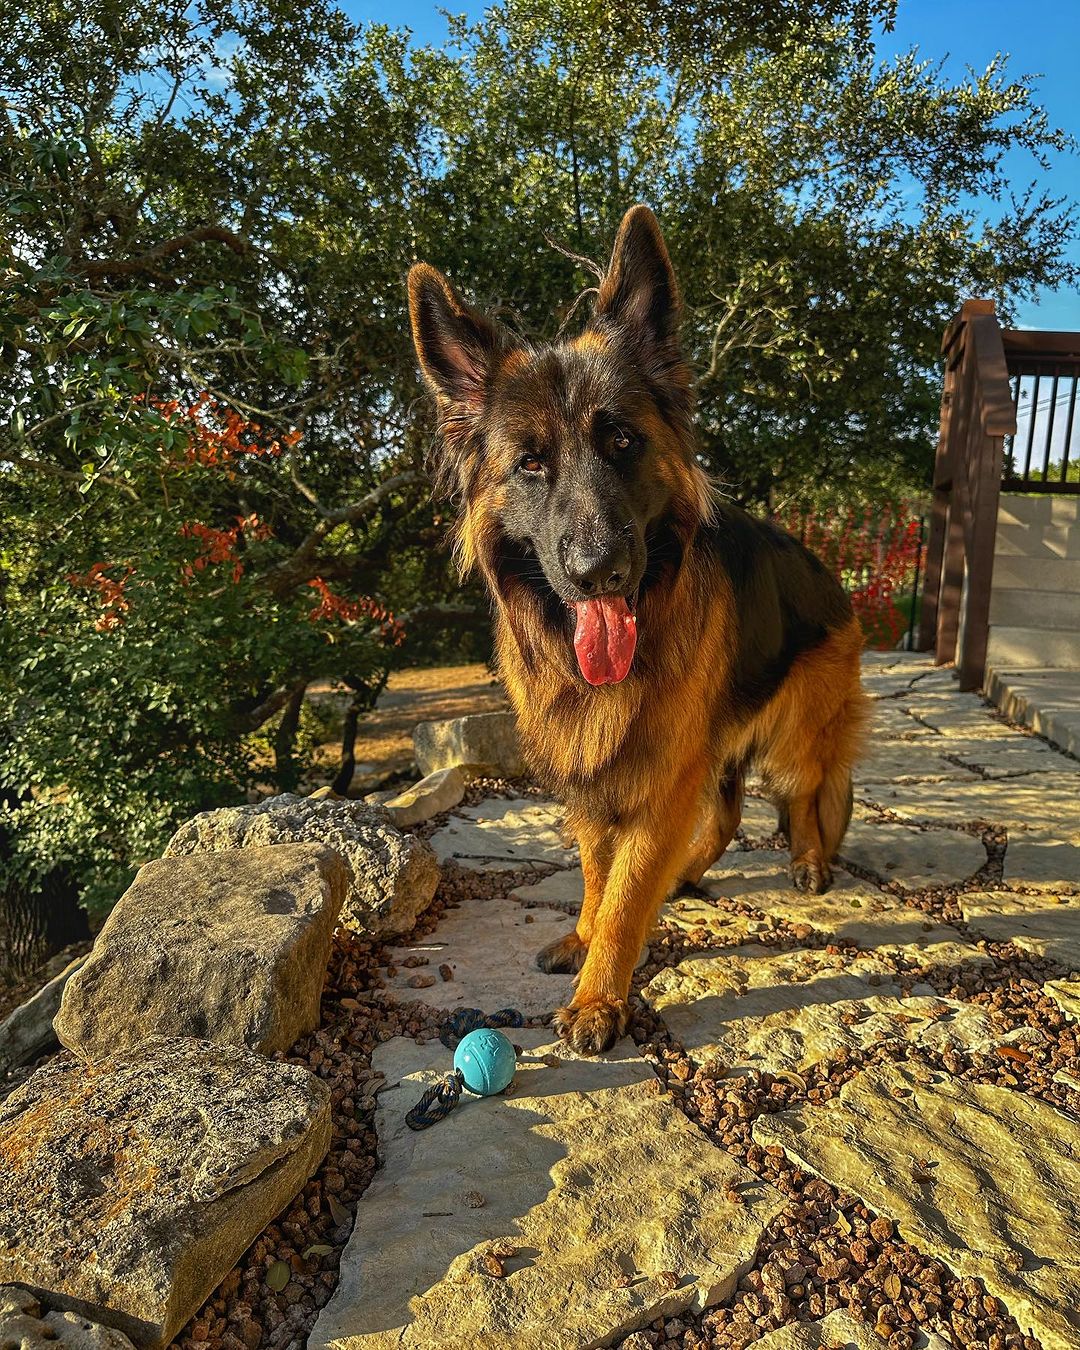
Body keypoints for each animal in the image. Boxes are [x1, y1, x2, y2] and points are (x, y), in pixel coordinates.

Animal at [410, 207, 864, 1053]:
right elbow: (600, 870)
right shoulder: (596, 761)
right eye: (530, 463)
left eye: (622, 441)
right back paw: (684, 874)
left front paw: (600, 995)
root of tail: (828, 571)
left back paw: (807, 862)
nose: (600, 573)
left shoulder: (662, 771)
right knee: (727, 812)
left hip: (792, 731)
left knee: (805, 792)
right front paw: (586, 938)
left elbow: (626, 890)